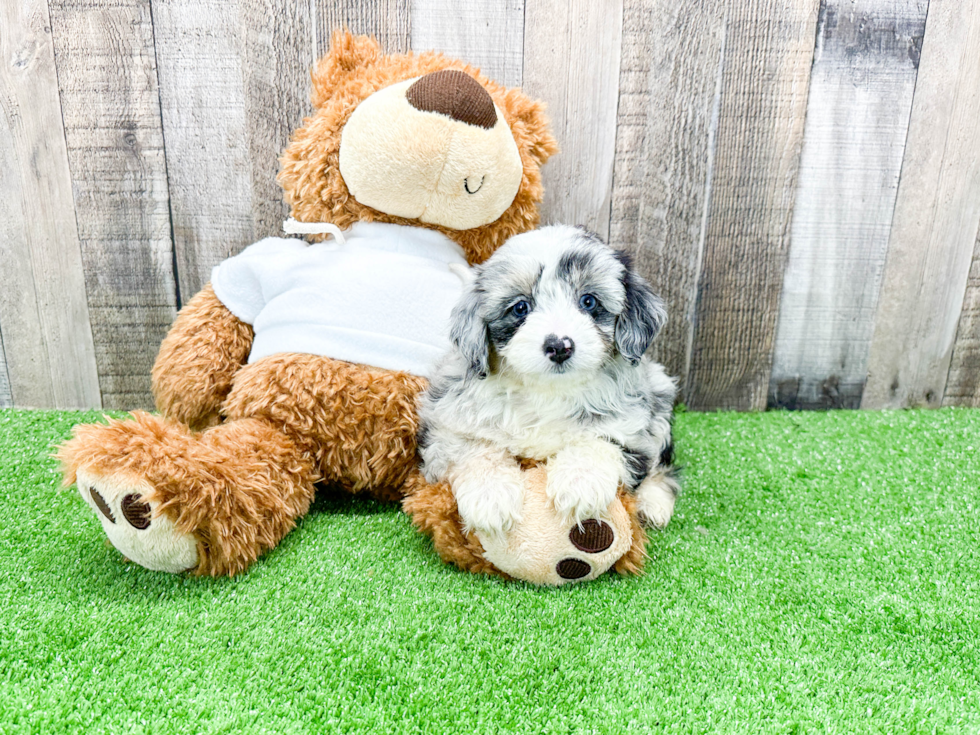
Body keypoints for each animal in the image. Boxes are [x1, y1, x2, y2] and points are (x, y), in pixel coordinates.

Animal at [418, 224, 676, 536]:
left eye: (588, 301)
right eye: (520, 308)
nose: (560, 346)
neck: (546, 391)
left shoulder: (632, 427)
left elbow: (602, 440)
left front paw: (580, 482)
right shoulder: (446, 424)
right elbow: (472, 449)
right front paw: (490, 496)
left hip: (660, 394)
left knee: (663, 466)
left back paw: (653, 504)